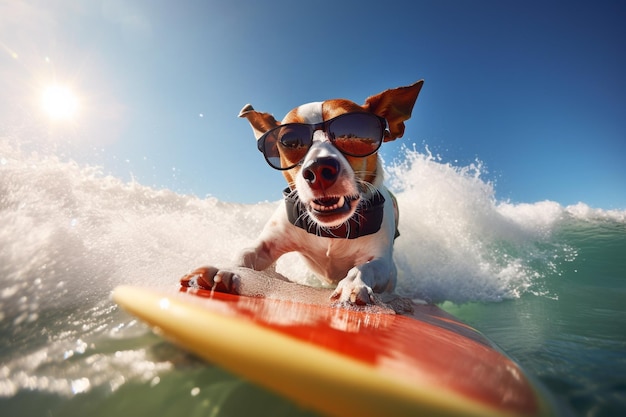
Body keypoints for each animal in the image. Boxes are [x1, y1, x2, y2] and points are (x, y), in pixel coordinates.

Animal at [182, 80, 424, 302]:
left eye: (354, 132)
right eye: (289, 140)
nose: (319, 169)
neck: (332, 230)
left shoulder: (385, 265)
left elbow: (367, 267)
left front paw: (353, 284)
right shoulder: (268, 243)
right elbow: (246, 253)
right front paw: (230, 270)